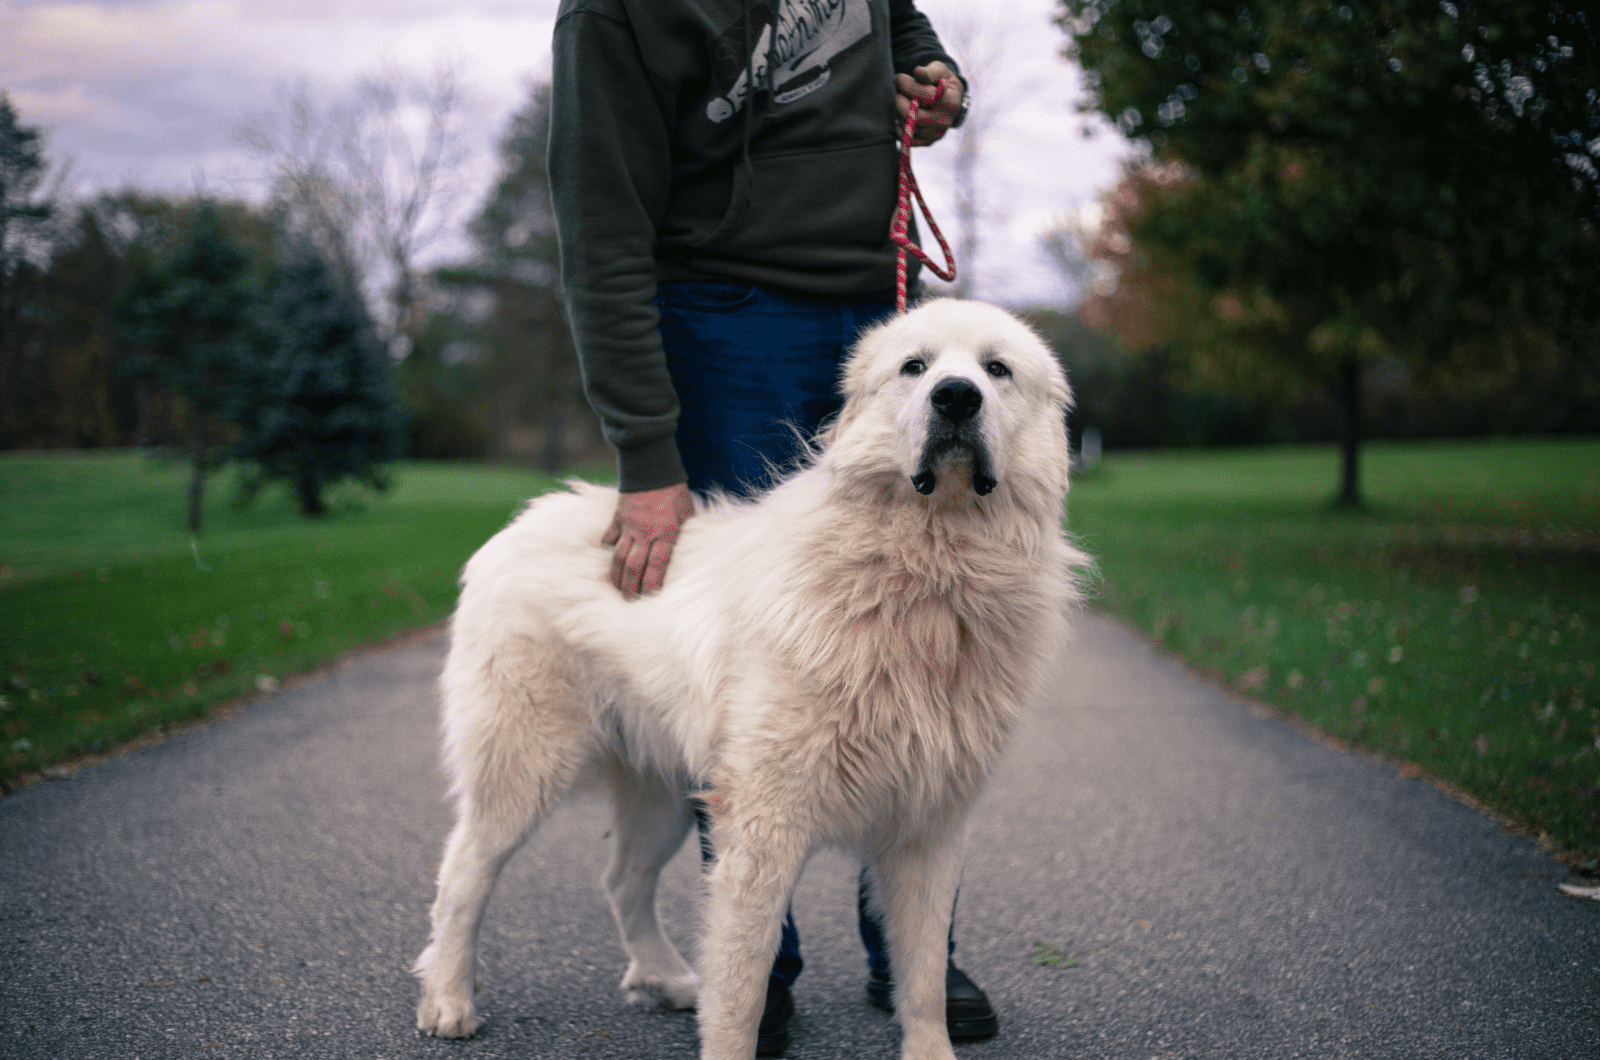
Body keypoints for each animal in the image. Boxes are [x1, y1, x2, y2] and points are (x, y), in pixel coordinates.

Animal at [412, 299, 1088, 1060]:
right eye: (915, 367)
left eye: (996, 370)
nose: (956, 398)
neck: (924, 576)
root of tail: (528, 516)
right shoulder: (764, 828)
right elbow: (742, 989)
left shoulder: (927, 828)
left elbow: (921, 979)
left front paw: (931, 1050)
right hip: (524, 766)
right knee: (463, 875)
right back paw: (449, 998)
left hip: (667, 795)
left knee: (622, 881)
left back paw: (666, 979)